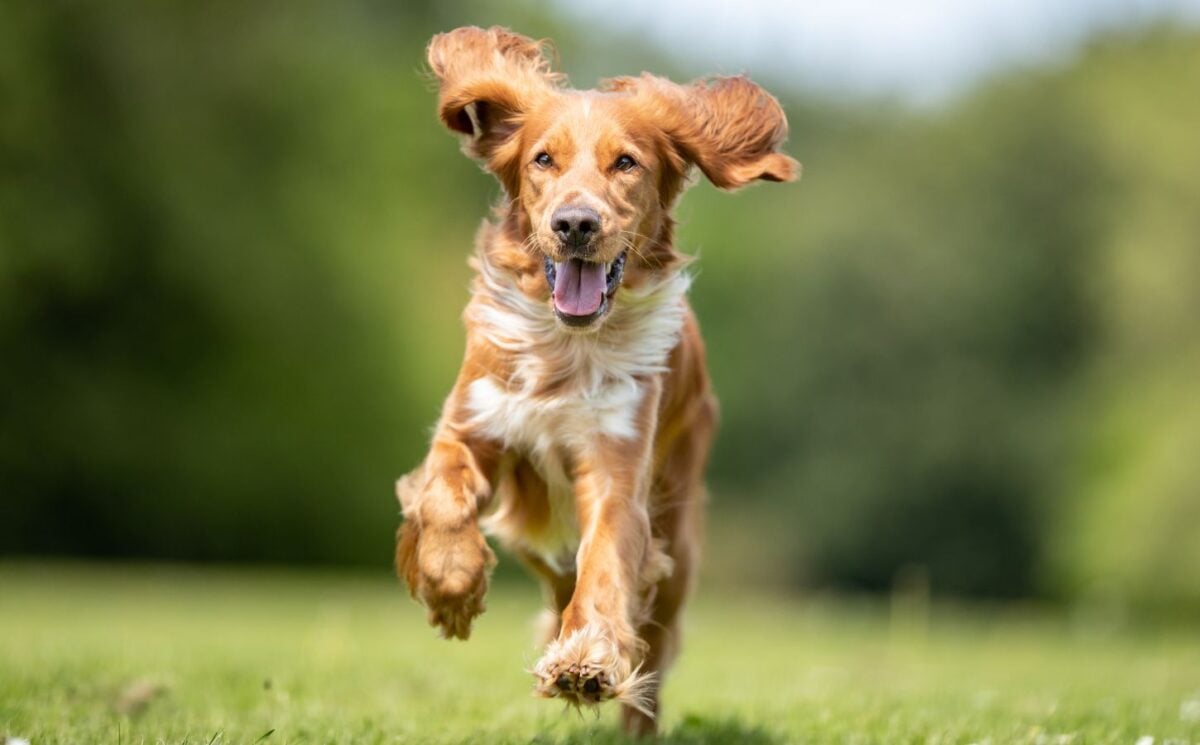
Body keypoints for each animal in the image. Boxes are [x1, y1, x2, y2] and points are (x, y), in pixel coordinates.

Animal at [393, 26, 801, 734]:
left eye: (627, 163)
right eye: (543, 160)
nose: (576, 224)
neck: (567, 348)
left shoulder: (616, 469)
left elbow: (608, 563)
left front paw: (585, 661)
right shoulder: (471, 423)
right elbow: (442, 497)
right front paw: (453, 588)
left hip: (678, 540)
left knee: (652, 642)